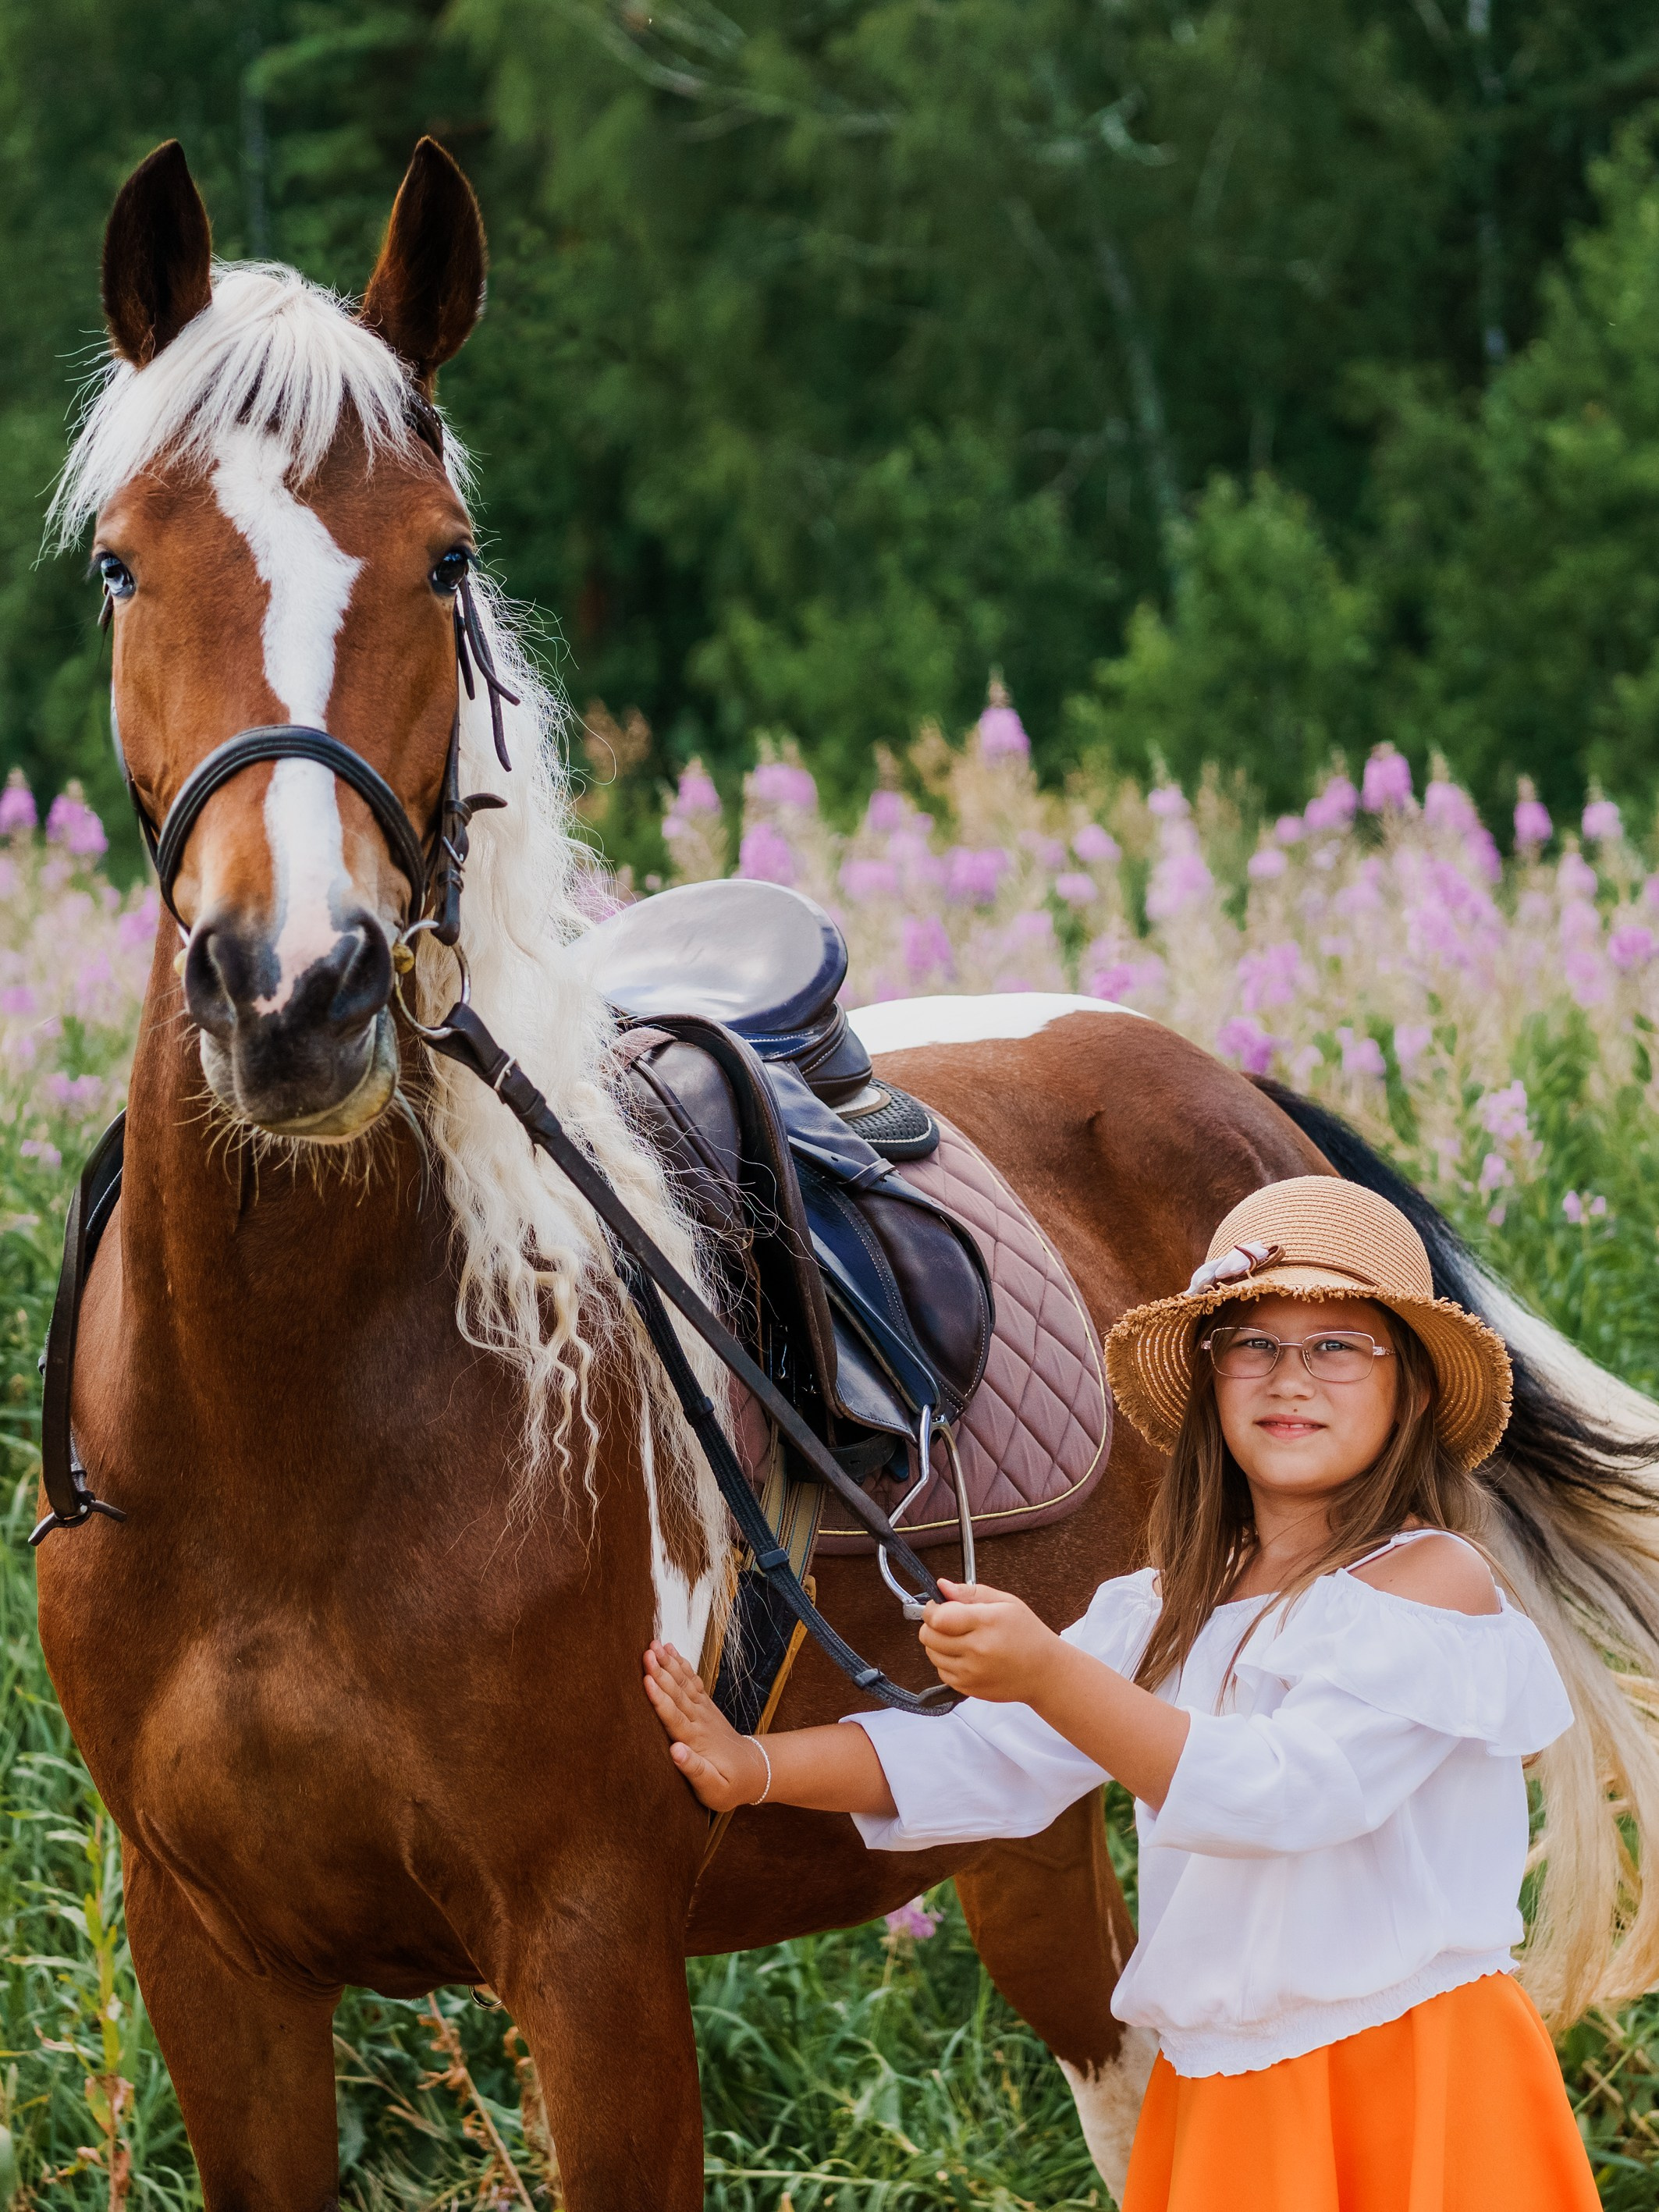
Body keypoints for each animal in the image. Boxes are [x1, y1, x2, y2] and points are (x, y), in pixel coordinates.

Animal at [35, 135, 1659, 2210]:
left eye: (444, 557)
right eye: (122, 560)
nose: (294, 995)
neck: (290, 1426)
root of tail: (1228, 1087)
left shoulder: (597, 1958)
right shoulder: (213, 1964)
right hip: (1028, 1813)